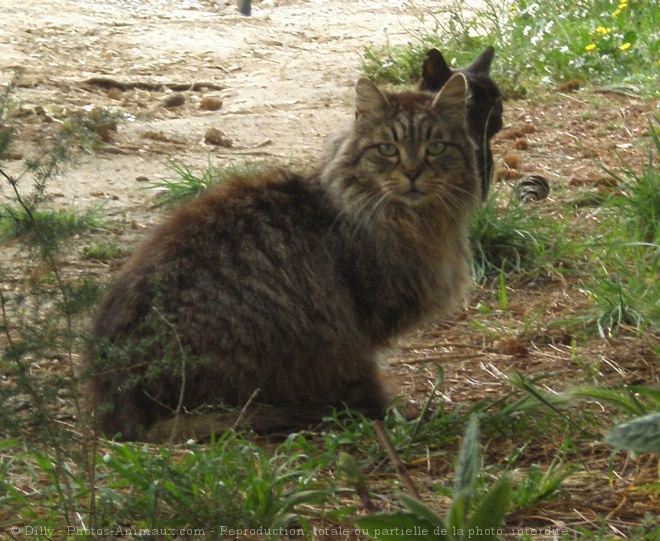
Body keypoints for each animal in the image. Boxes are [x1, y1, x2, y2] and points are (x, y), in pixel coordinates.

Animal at [87, 73, 480, 442]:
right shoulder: (362, 320)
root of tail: (116, 411)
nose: (413, 173)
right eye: (387, 149)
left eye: (436, 147)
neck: (414, 221)